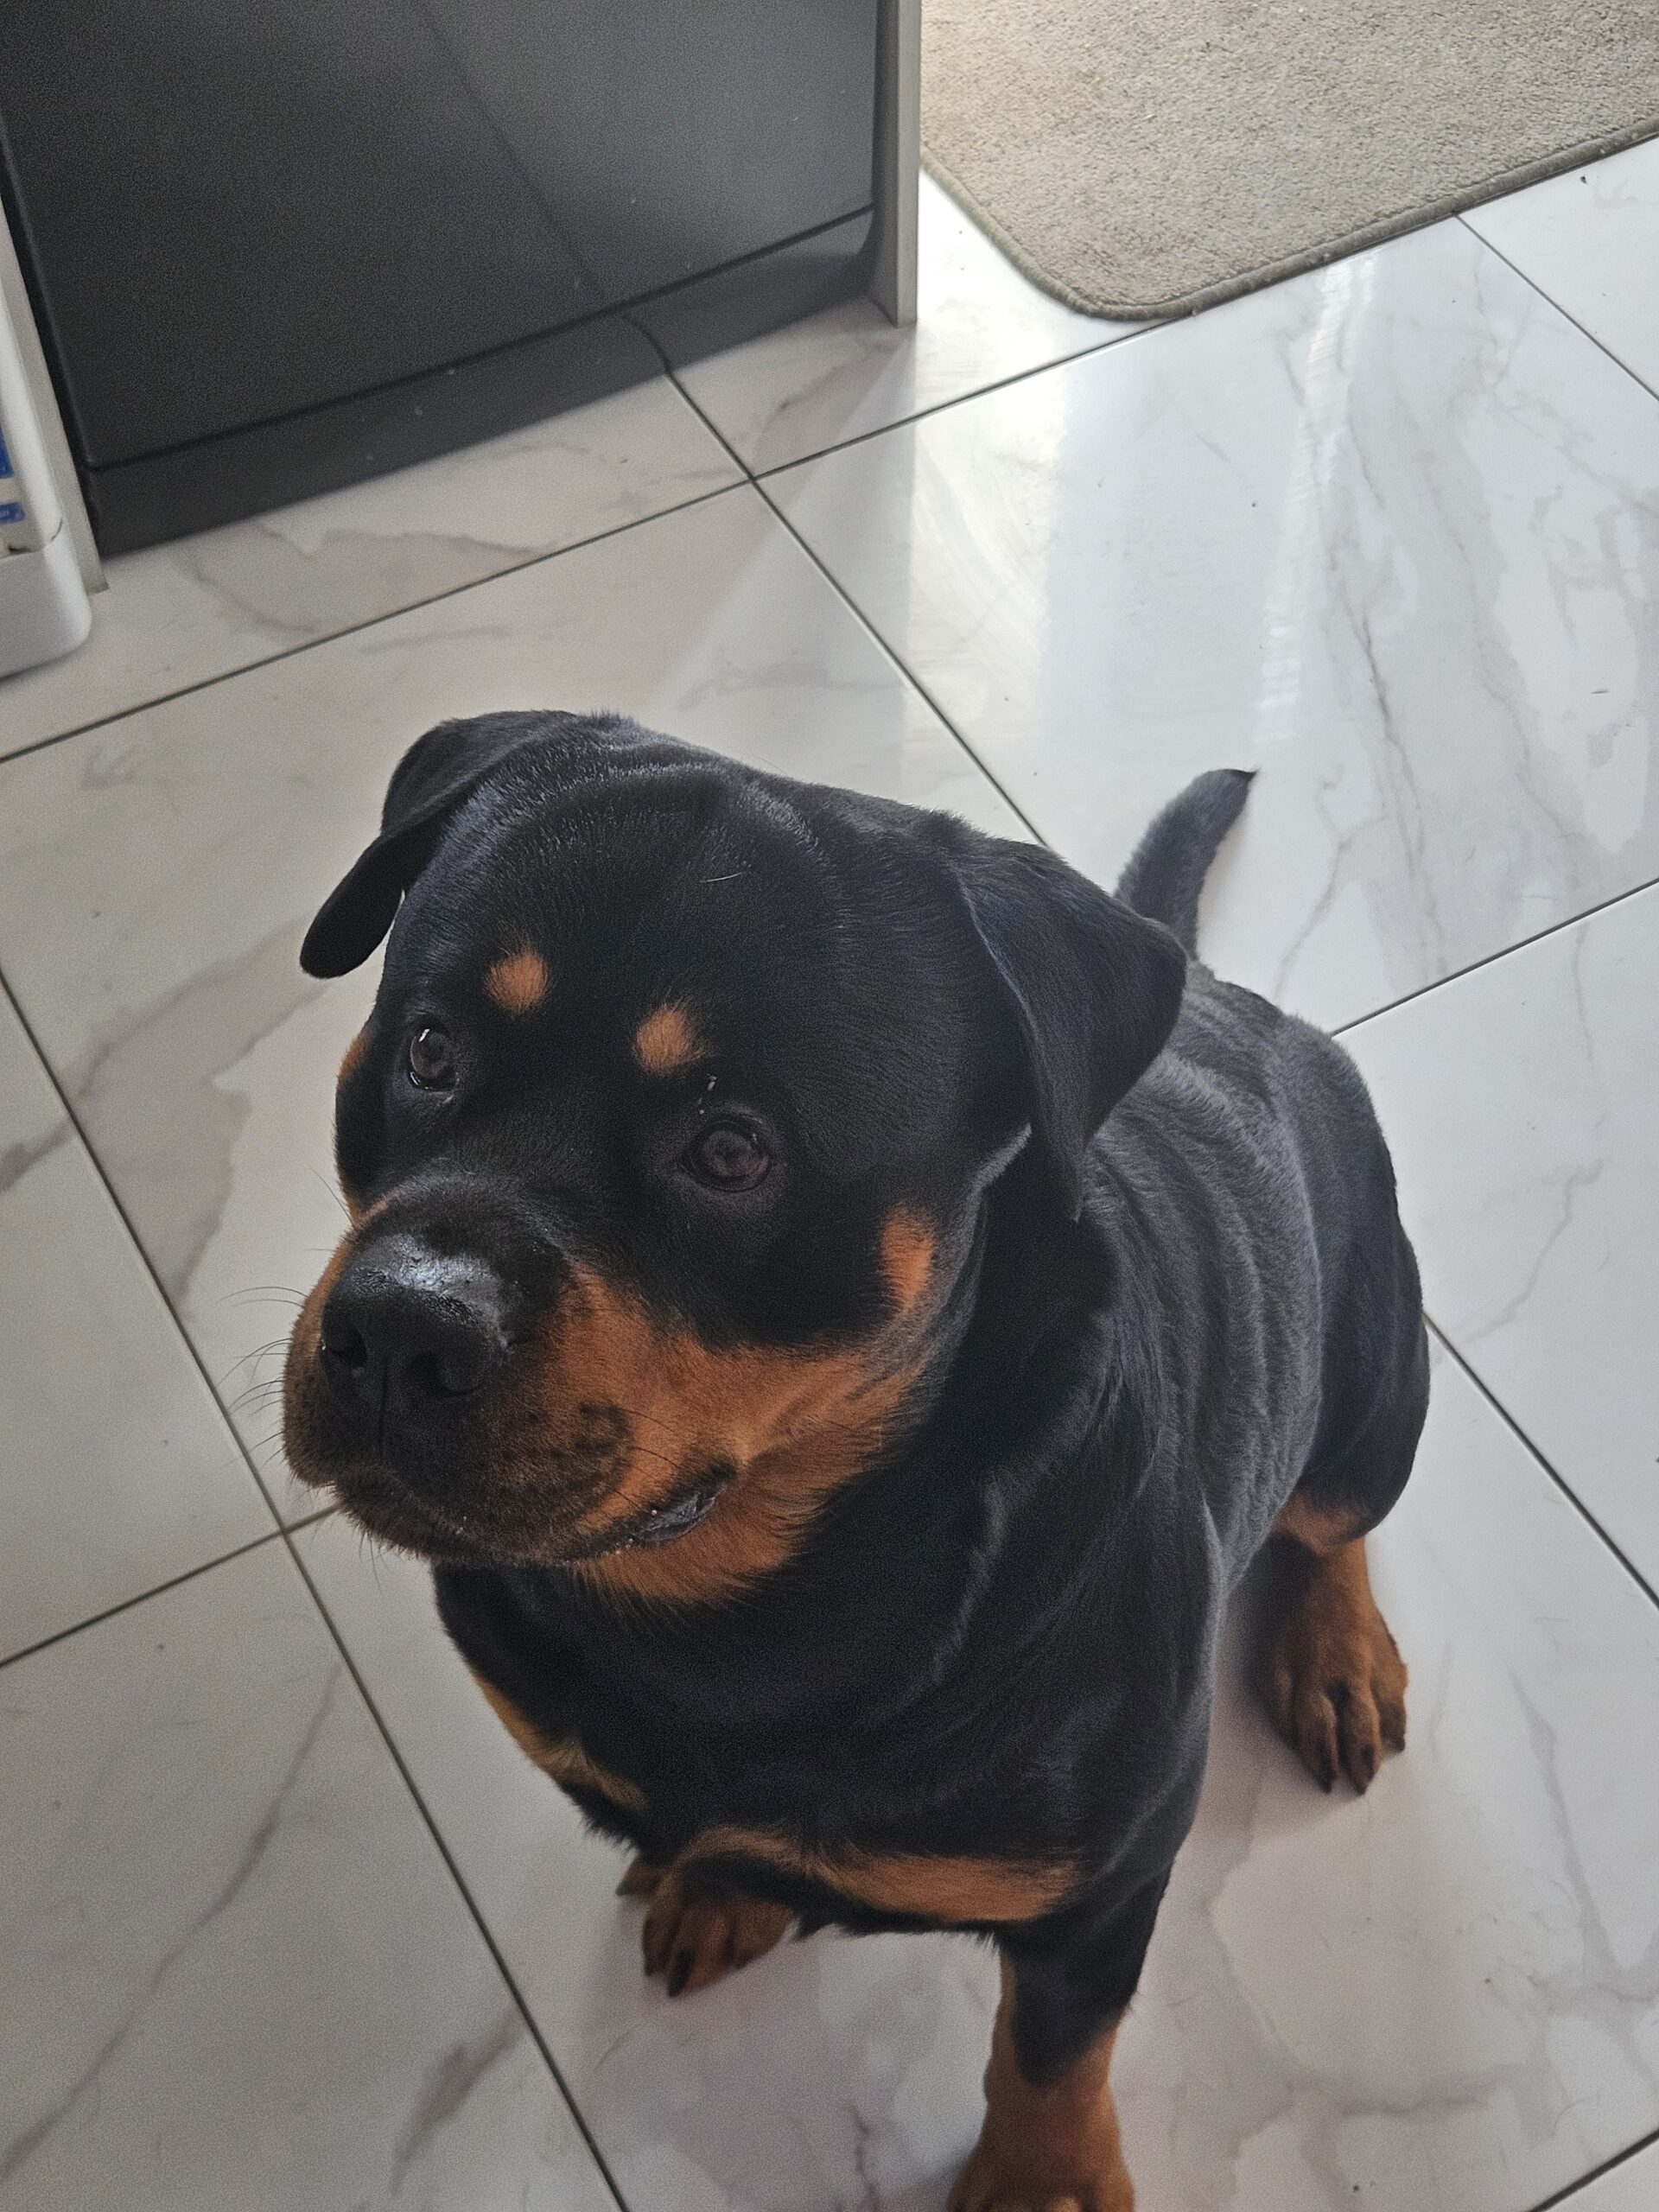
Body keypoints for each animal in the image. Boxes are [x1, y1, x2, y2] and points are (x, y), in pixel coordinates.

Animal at [284, 710, 1426, 2212]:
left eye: (732, 1150)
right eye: (427, 1048)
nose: (400, 1328)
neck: (748, 1602)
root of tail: (1239, 1004)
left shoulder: (1102, 1887)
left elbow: (1053, 2048)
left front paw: (1043, 2178)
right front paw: (722, 1885)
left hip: (1376, 1394)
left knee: (1333, 1518)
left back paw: (1335, 1651)